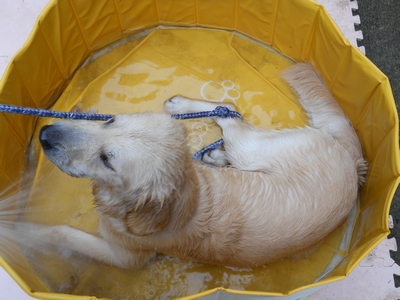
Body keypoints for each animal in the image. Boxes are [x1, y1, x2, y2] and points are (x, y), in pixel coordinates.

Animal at [26, 62, 368, 268]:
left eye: (107, 160)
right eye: (110, 121)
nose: (45, 134)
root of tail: (352, 162)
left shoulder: (127, 257)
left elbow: (62, 233)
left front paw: (28, 232)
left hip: (250, 148)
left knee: (230, 111)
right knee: (227, 111)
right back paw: (205, 143)